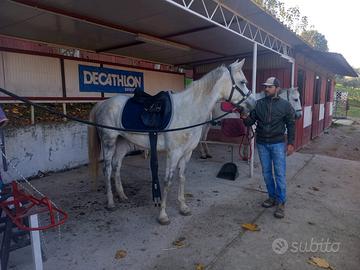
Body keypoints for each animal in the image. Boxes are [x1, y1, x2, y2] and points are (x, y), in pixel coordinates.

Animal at [87, 59, 256, 226]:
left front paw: (183, 207)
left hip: (123, 143)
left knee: (117, 166)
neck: (188, 110)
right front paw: (163, 215)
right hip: (109, 142)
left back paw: (122, 196)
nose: (253, 104)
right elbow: (168, 181)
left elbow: (182, 177)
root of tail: (103, 103)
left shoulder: (187, 153)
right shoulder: (174, 153)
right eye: (242, 82)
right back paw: (111, 203)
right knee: (107, 169)